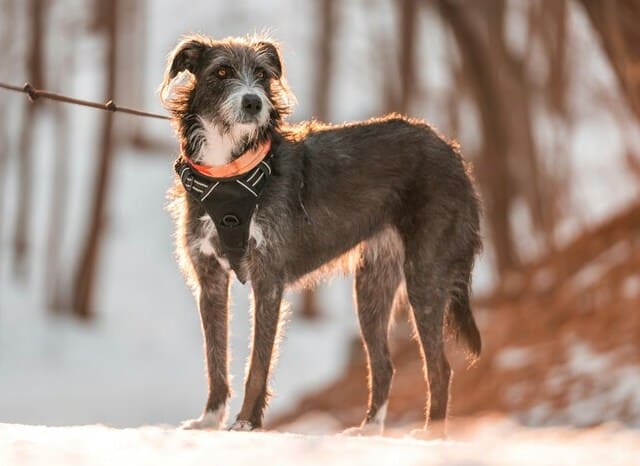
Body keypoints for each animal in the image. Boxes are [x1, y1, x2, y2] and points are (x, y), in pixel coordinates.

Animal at [160, 33, 480, 436]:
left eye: (262, 75)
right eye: (221, 71)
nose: (253, 102)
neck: (230, 173)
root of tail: (452, 153)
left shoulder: (269, 279)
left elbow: (258, 364)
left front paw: (247, 422)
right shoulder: (210, 280)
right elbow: (215, 360)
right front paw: (210, 419)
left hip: (425, 275)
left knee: (440, 368)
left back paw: (430, 435)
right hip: (372, 284)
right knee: (384, 365)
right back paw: (369, 429)